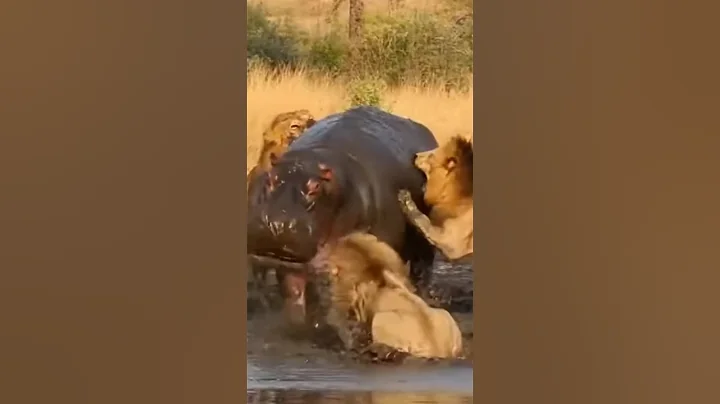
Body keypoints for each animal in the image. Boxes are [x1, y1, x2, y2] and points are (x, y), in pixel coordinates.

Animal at [246, 106, 439, 336]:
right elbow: (295, 290)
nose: (276, 223)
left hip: (423, 243)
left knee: (422, 268)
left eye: (315, 187)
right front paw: (304, 326)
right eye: (271, 179)